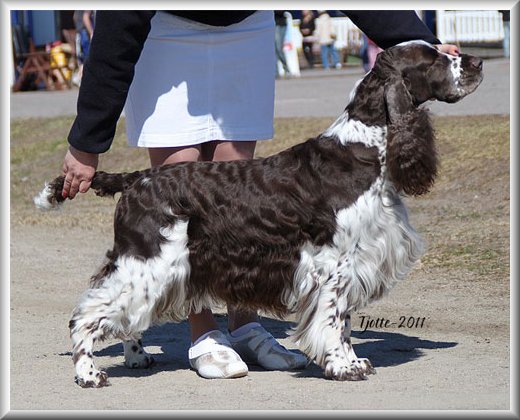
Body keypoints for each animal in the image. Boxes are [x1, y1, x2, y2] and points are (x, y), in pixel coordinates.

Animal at [33, 40, 484, 388]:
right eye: (434, 60)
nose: (477, 62)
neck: (363, 148)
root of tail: (136, 179)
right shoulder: (335, 266)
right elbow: (334, 321)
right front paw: (343, 367)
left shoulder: (354, 262)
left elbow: (345, 323)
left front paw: (354, 360)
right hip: (148, 262)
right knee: (86, 314)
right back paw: (89, 374)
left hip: (156, 268)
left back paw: (136, 356)